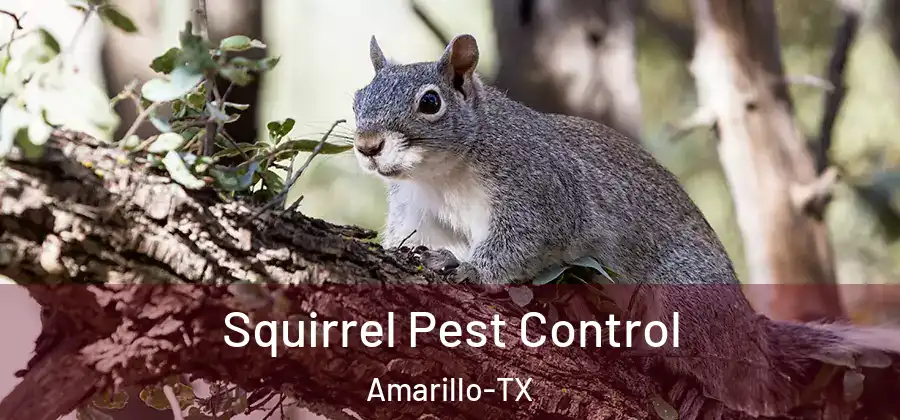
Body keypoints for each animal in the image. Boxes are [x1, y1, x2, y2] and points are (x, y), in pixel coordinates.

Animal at [352, 34, 900, 418]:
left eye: (430, 103)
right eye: (358, 96)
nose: (366, 145)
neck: (442, 173)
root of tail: (749, 329)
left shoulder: (542, 190)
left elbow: (523, 241)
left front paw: (468, 269)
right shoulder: (418, 211)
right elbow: (411, 238)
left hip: (686, 300)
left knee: (742, 381)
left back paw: (702, 392)